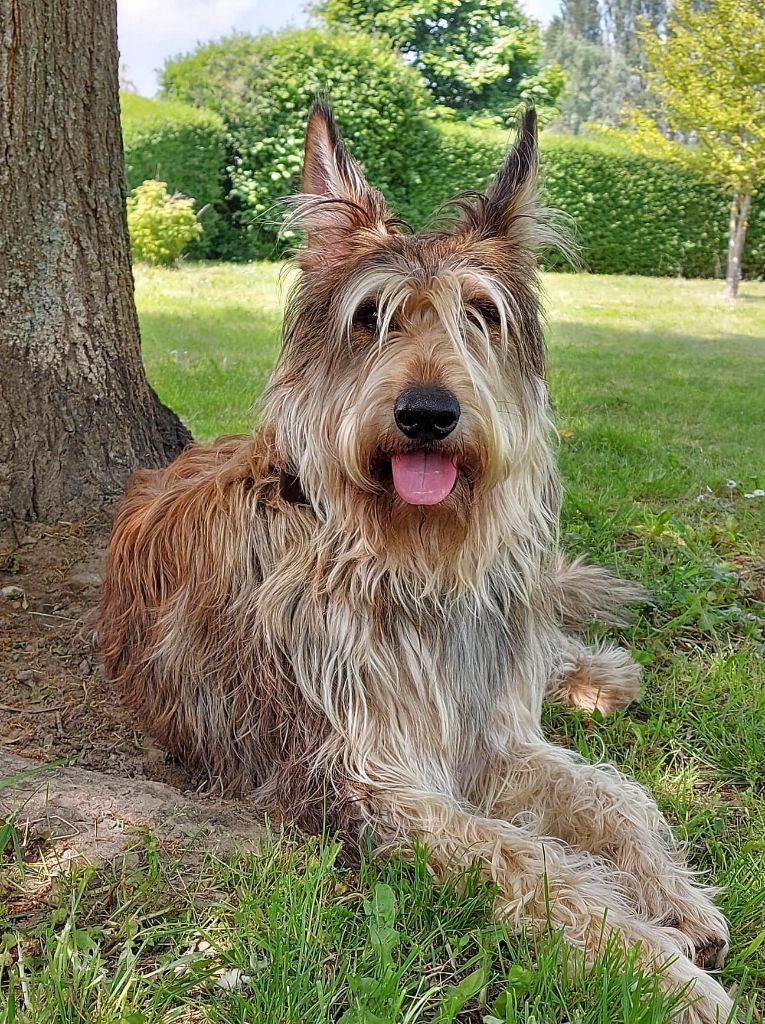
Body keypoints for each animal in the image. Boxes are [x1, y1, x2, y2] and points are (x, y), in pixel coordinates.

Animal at [98, 99, 733, 1019]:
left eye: (480, 314)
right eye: (371, 317)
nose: (427, 413)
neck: (407, 559)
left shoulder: (488, 730)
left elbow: (612, 798)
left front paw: (670, 893)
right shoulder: (366, 778)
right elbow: (529, 860)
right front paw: (658, 968)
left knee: (550, 647)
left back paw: (600, 675)